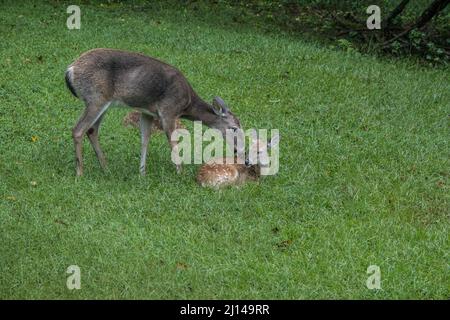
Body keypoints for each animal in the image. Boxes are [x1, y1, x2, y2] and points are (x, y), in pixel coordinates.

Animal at [65, 48, 241, 176]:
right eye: (234, 127)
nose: (238, 150)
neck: (186, 105)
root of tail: (70, 70)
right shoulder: (168, 110)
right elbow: (173, 141)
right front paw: (181, 173)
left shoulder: (148, 113)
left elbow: (145, 140)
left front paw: (142, 173)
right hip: (96, 98)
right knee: (78, 129)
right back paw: (80, 173)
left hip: (102, 103)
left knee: (92, 130)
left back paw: (106, 169)